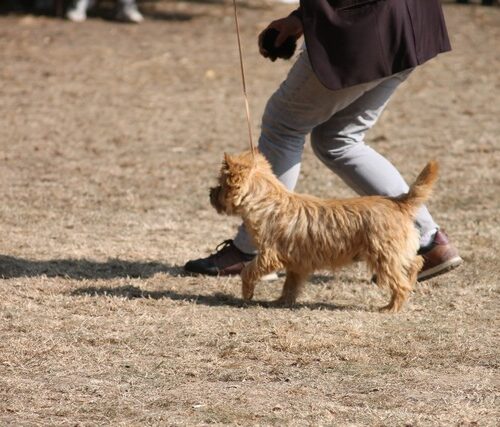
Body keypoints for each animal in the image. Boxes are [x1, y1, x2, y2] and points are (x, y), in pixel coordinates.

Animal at [210, 150, 438, 314]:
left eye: (220, 185)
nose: (210, 192)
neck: (268, 203)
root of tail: (399, 203)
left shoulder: (269, 255)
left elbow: (248, 271)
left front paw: (247, 293)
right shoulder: (296, 262)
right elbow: (290, 284)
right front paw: (282, 301)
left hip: (384, 256)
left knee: (400, 283)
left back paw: (391, 308)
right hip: (395, 252)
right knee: (415, 262)